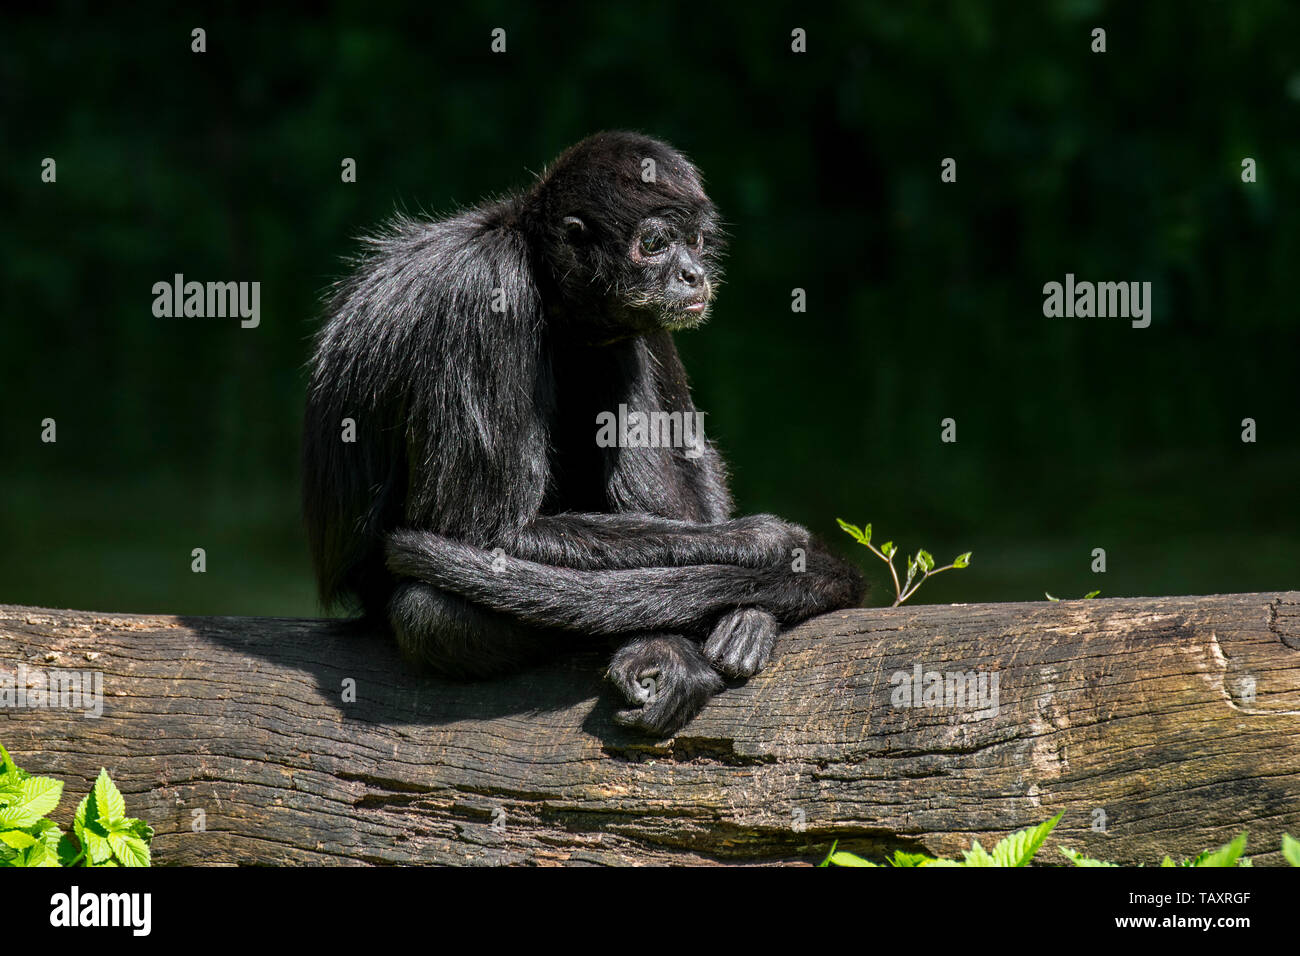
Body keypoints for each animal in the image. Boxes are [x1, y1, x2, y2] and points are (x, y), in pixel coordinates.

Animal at [302, 130, 863, 738]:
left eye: (694, 242)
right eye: (656, 244)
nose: (693, 274)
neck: (537, 275)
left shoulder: (645, 316)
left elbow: (694, 450)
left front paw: (756, 607)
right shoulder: (486, 294)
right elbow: (483, 532)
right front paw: (761, 540)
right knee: (429, 614)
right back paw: (663, 643)